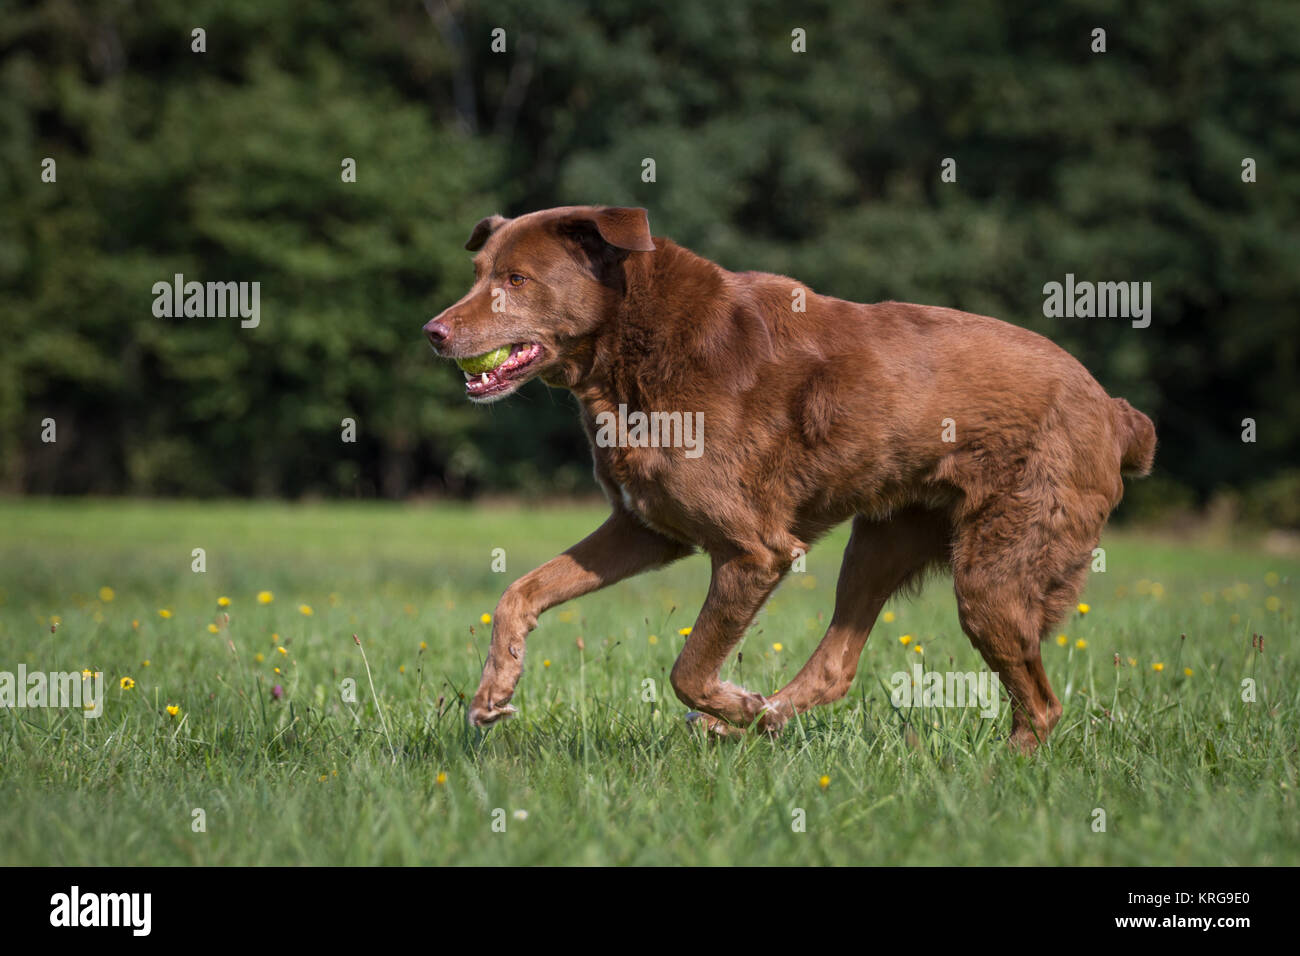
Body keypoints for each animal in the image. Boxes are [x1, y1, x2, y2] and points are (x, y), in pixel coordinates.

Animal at [428, 205, 1159, 749]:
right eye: (477, 272)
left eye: (517, 279)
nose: (433, 331)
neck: (633, 350)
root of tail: (1116, 410)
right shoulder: (648, 527)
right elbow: (520, 591)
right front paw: (494, 690)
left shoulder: (754, 551)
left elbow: (688, 669)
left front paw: (735, 704)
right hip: (883, 539)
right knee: (839, 663)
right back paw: (767, 721)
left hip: (996, 572)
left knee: (1040, 704)